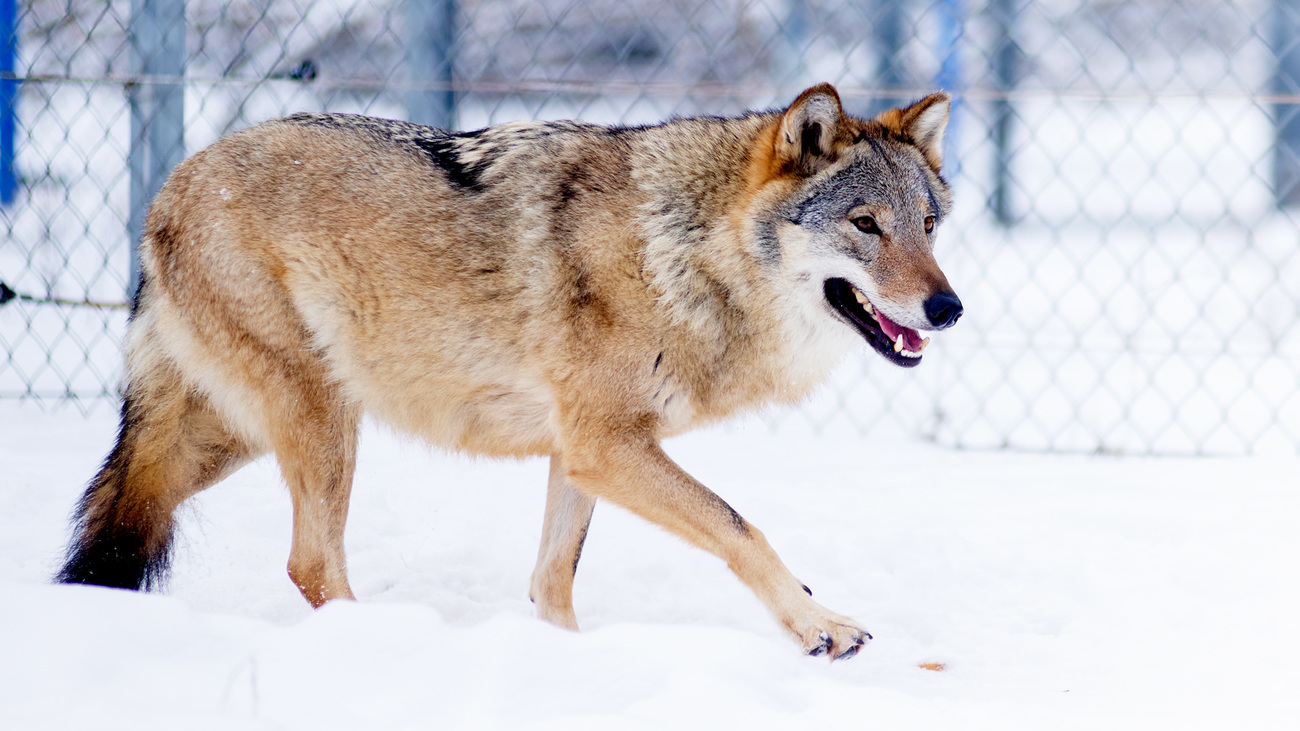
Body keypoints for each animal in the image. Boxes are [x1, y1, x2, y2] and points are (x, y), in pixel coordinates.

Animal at [58, 82, 956, 658]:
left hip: (227, 441)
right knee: (310, 562)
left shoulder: (581, 454)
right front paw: (821, 624)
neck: (681, 251)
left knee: (129, 515)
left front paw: (562, 661)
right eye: (865, 224)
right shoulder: (608, 446)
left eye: (928, 224)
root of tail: (170, 186)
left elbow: (552, 578)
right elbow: (742, 526)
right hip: (319, 422)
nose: (948, 308)